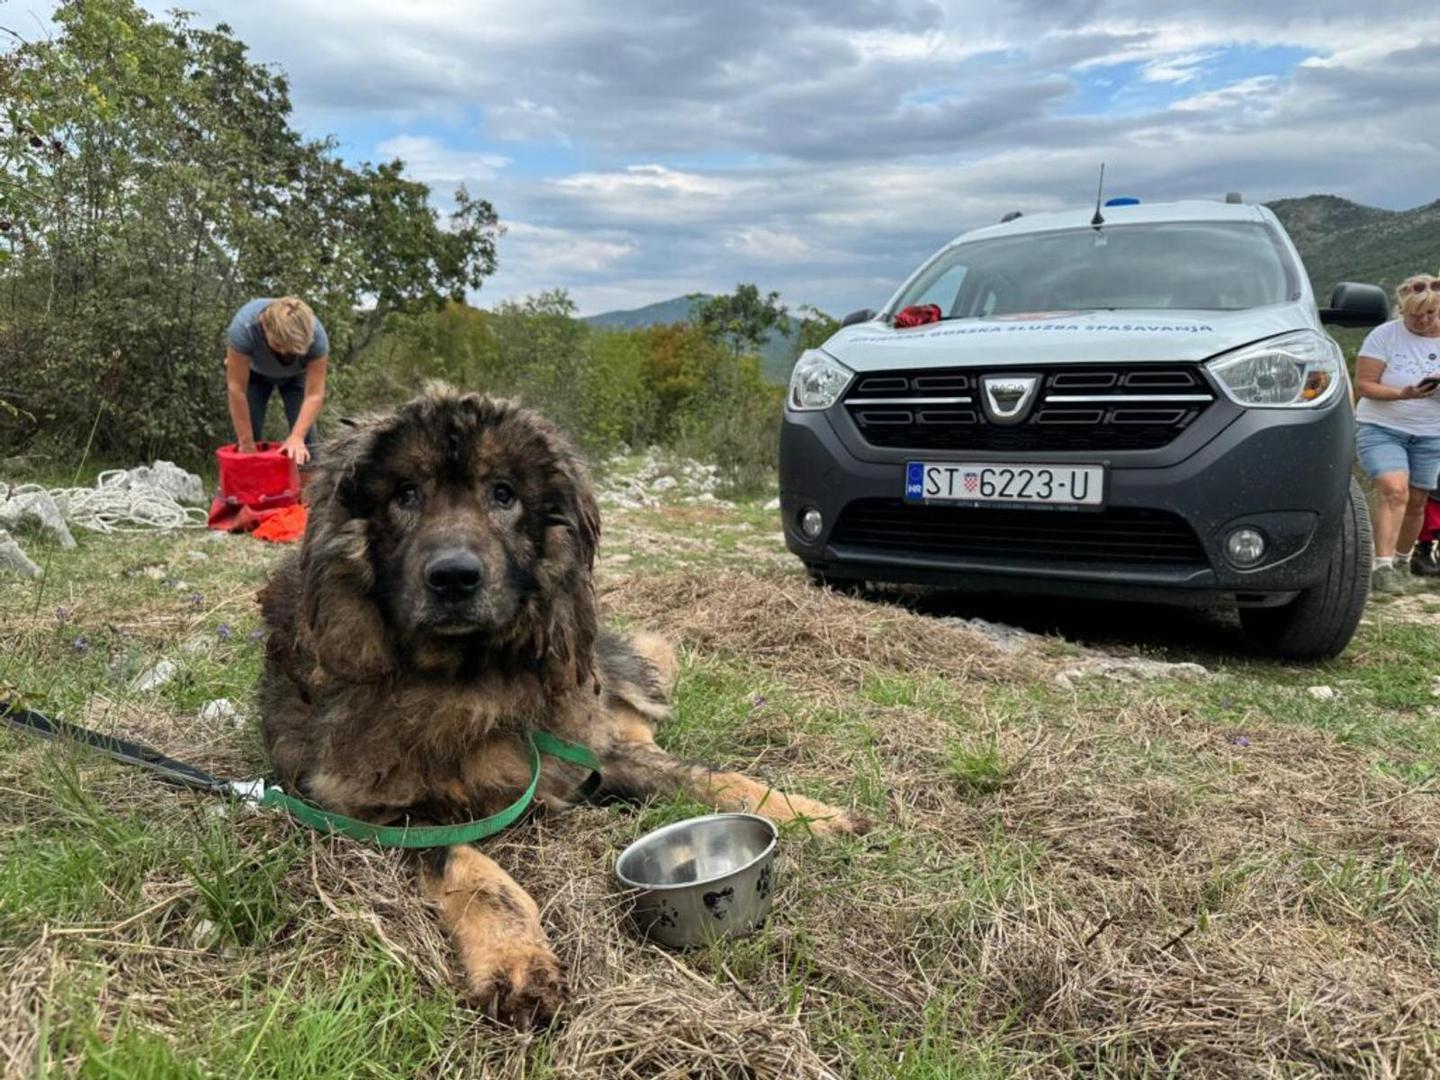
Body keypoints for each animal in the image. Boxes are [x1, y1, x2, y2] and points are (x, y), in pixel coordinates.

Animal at [257, 385, 858, 1025]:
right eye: (405, 494)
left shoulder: (584, 752)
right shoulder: (391, 814)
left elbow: (707, 776)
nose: (454, 578)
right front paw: (516, 959)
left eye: (503, 494)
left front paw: (809, 814)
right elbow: (482, 877)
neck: (470, 678)